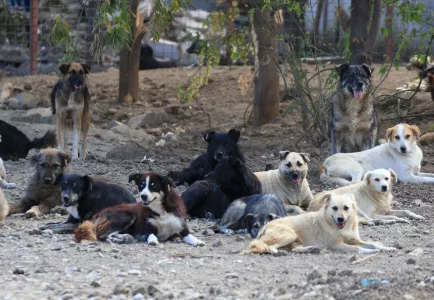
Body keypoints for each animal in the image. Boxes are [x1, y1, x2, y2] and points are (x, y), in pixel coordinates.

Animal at [74, 172, 205, 247]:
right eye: (141, 186)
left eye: (153, 185)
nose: (143, 196)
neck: (161, 210)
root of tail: (99, 214)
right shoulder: (149, 229)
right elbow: (151, 235)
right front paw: (153, 241)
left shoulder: (181, 227)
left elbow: (190, 236)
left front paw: (197, 241)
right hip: (127, 216)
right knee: (102, 235)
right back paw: (122, 238)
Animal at [244, 193, 396, 254]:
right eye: (334, 208)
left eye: (346, 208)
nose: (340, 219)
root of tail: (266, 225)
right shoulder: (337, 245)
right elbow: (357, 248)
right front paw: (371, 251)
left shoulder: (355, 240)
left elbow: (372, 244)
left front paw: (387, 248)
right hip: (288, 234)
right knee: (263, 246)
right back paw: (276, 251)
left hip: (293, 239)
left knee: (295, 249)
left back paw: (313, 249)